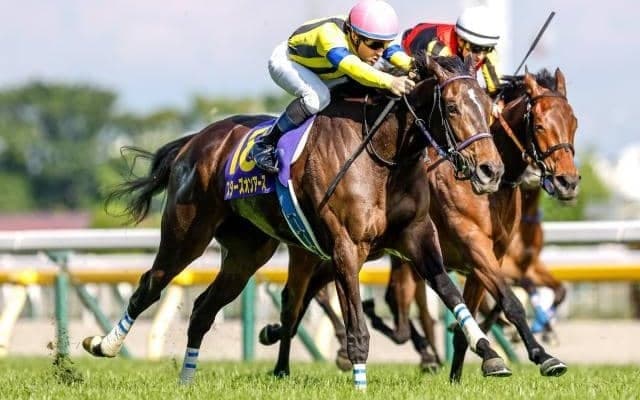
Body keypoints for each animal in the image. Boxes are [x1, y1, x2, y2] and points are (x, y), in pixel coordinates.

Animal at [81, 53, 507, 389]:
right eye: (451, 107)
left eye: (488, 106)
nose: (491, 171)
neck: (384, 156)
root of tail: (193, 142)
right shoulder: (346, 248)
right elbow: (356, 326)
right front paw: (359, 382)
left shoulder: (417, 236)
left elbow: (450, 294)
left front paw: (490, 354)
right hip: (187, 235)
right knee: (148, 286)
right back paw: (103, 345)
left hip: (247, 253)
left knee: (202, 309)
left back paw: (186, 379)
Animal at [261, 67, 579, 382]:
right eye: (539, 126)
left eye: (573, 123)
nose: (568, 181)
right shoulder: (474, 247)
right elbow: (509, 301)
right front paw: (542, 357)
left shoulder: (492, 258)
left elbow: (487, 306)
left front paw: (469, 368)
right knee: (318, 291)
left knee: (317, 287)